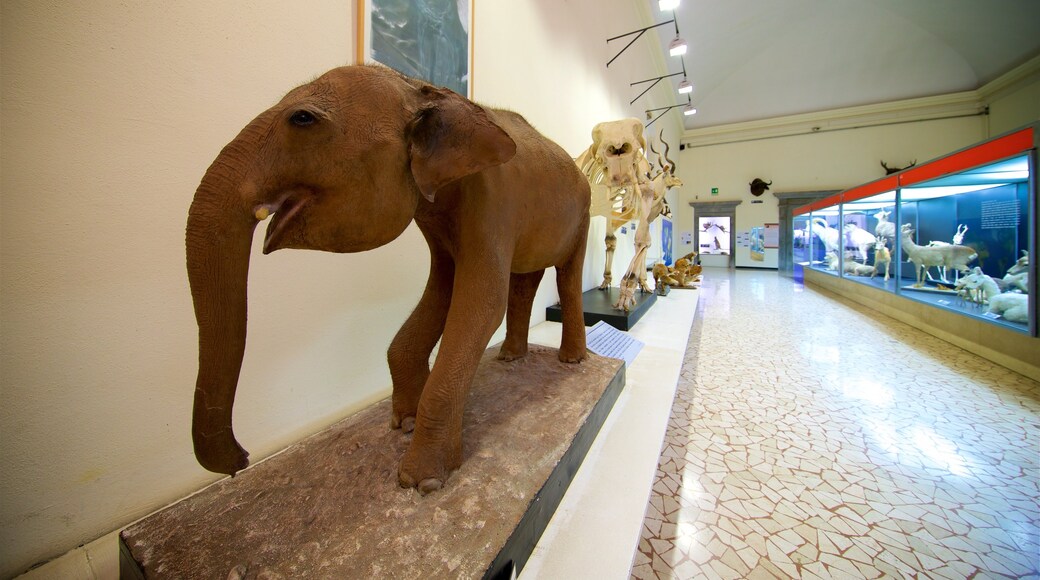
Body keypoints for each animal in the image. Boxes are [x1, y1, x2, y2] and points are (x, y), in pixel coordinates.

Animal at [189, 67, 594, 494]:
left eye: (302, 119)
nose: (240, 460)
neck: (424, 89)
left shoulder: (494, 201)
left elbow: (481, 303)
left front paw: (422, 481)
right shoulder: (437, 218)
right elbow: (443, 291)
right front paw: (404, 423)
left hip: (583, 213)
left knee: (566, 277)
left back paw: (571, 360)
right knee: (524, 282)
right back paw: (510, 357)